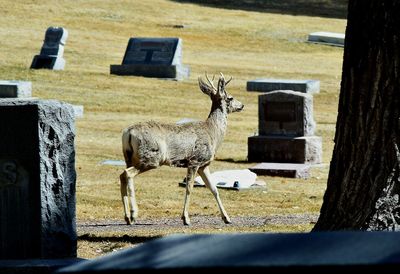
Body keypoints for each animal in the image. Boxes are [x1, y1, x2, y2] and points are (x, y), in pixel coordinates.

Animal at [119, 73, 244, 225]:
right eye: (230, 97)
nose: (242, 105)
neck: (213, 132)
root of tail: (128, 133)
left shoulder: (204, 164)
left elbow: (214, 189)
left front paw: (227, 218)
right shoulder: (195, 160)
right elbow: (189, 188)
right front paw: (186, 218)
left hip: (129, 157)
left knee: (122, 175)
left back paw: (127, 217)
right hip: (150, 157)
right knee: (127, 174)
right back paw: (133, 214)